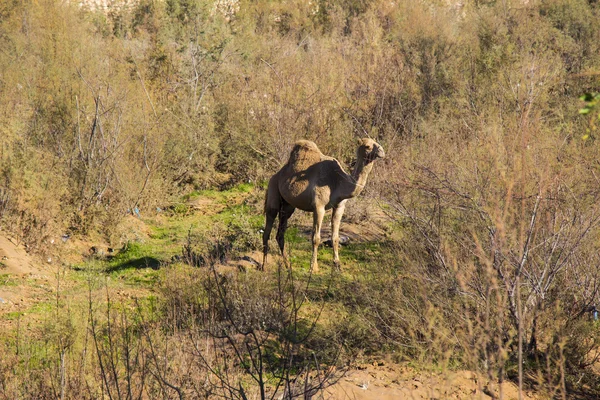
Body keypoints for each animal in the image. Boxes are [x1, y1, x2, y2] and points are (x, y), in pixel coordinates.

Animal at [262, 138, 384, 272]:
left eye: (376, 142)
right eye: (367, 146)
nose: (382, 151)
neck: (338, 182)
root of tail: (275, 175)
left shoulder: (339, 206)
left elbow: (335, 237)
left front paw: (337, 265)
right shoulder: (318, 207)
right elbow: (316, 238)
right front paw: (313, 267)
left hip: (288, 206)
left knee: (280, 233)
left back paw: (288, 265)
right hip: (273, 190)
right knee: (268, 228)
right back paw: (264, 266)